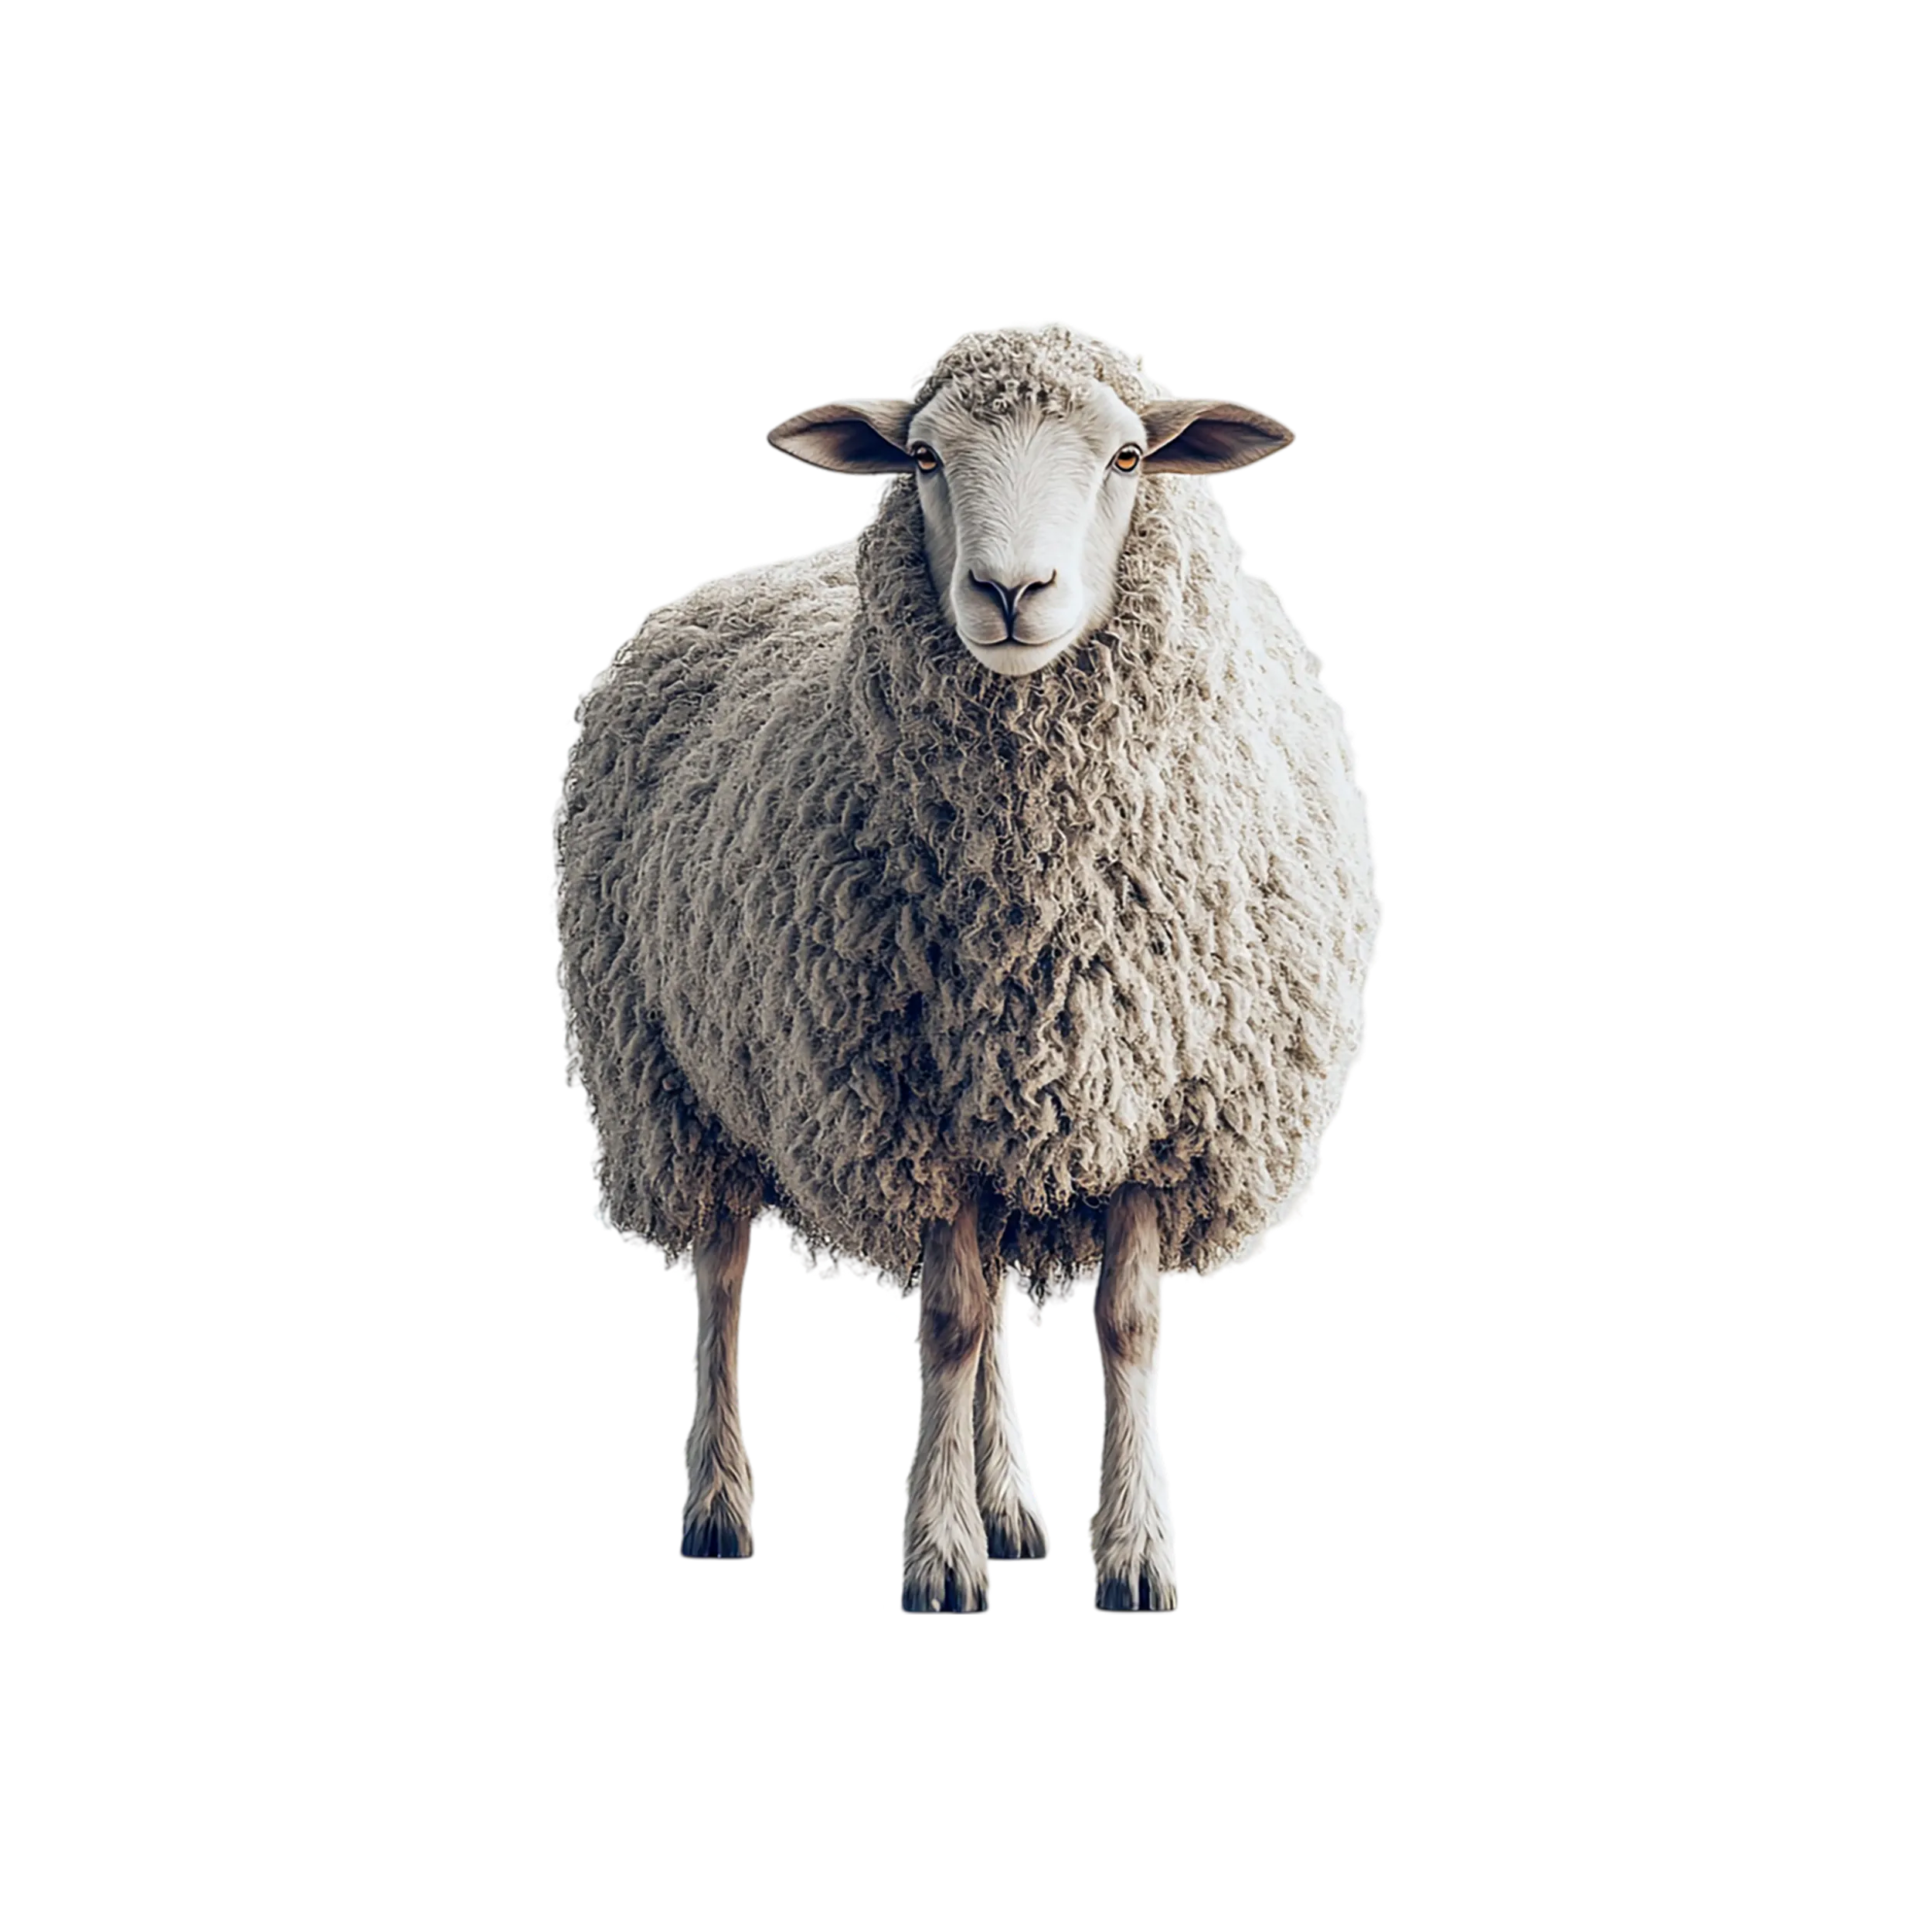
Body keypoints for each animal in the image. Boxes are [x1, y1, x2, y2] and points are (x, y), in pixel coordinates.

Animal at [549, 318, 1384, 1616]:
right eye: (927, 458)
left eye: (1130, 457)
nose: (1009, 593)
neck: (1042, 905)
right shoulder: (907, 1110)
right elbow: (944, 1321)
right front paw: (938, 1559)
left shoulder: (1154, 1106)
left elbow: (1121, 1325)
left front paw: (1136, 1553)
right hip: (671, 1087)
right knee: (724, 1282)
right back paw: (720, 1508)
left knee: (986, 1306)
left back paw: (1015, 1509)